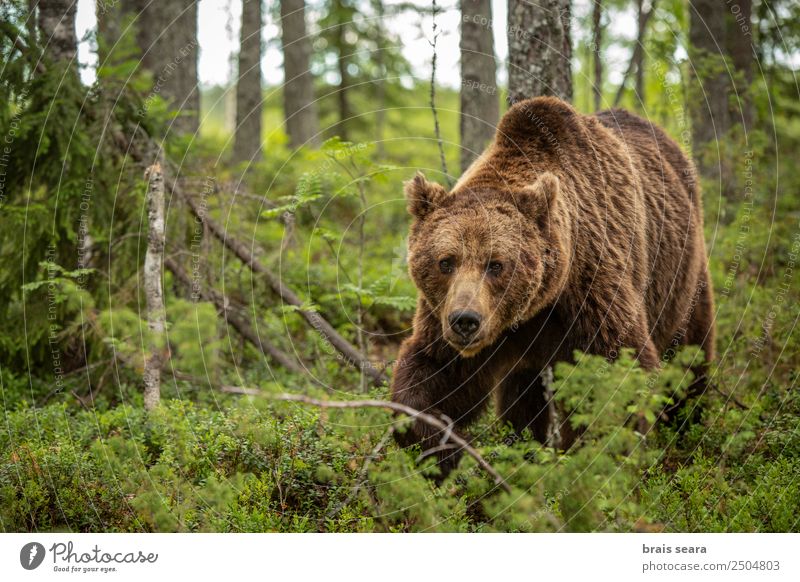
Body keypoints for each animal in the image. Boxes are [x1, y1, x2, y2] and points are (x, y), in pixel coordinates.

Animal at [390, 94, 716, 470]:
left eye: (496, 265)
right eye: (446, 262)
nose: (465, 321)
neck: (535, 308)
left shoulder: (590, 290)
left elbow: (618, 370)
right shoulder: (447, 317)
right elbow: (432, 374)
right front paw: (450, 447)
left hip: (681, 275)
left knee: (690, 352)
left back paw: (688, 426)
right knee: (523, 397)